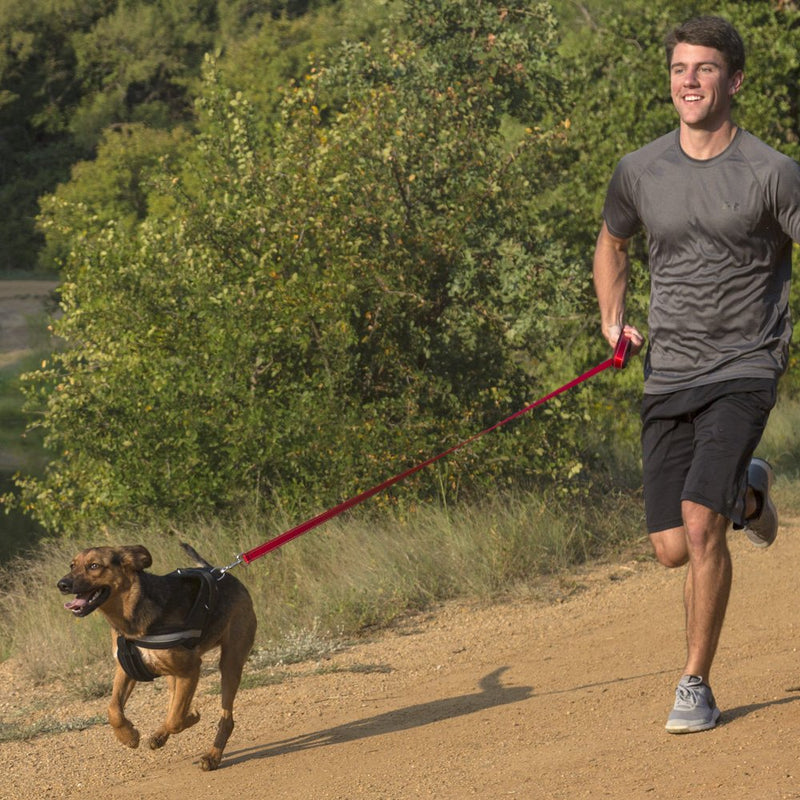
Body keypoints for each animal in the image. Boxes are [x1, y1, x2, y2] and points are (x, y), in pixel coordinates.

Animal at [56, 540, 256, 772]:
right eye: (72, 565)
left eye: (94, 566)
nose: (62, 584)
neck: (129, 616)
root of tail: (221, 572)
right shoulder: (126, 668)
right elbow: (113, 709)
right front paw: (128, 736)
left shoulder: (191, 668)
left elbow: (176, 720)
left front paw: (190, 717)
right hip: (172, 674)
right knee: (173, 702)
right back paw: (161, 736)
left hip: (230, 662)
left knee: (225, 718)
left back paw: (212, 756)